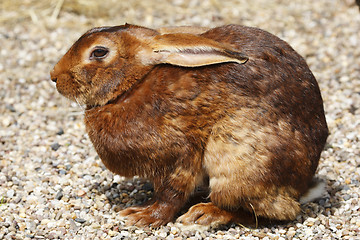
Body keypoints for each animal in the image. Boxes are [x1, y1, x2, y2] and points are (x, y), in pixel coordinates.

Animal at [50, 23, 330, 228]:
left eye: (99, 52)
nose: (54, 76)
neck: (131, 87)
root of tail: (301, 187)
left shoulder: (179, 157)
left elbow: (170, 195)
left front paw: (141, 217)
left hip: (237, 161)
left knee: (270, 211)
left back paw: (204, 215)